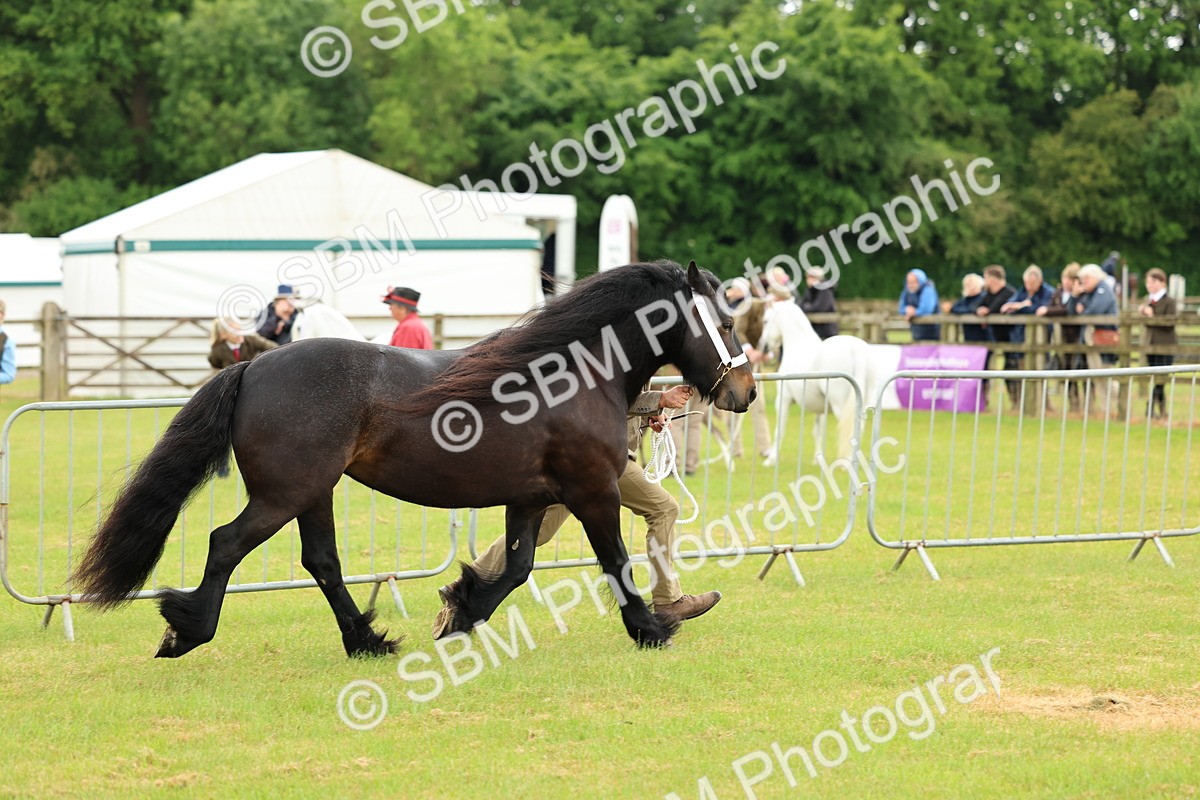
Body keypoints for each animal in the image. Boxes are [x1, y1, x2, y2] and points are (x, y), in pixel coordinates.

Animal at [72, 261, 756, 658]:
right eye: (725, 320)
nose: (744, 393)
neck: (576, 374)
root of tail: (255, 367)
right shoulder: (592, 491)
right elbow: (614, 560)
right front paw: (650, 628)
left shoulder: (531, 497)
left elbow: (516, 567)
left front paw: (460, 608)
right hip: (284, 494)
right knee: (225, 543)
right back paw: (186, 631)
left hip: (312, 494)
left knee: (321, 562)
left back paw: (367, 640)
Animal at [759, 300, 878, 465]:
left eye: (765, 320)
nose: (764, 348)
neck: (798, 344)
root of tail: (857, 351)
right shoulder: (821, 408)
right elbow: (818, 432)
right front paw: (817, 459)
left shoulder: (783, 399)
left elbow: (779, 430)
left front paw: (771, 460)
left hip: (841, 406)